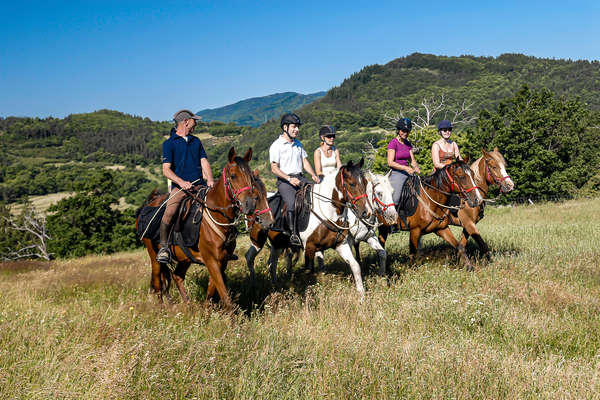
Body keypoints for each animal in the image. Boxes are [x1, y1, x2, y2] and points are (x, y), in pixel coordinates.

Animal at [137, 147, 274, 306]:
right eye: (233, 176)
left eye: (251, 178)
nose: (249, 204)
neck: (217, 217)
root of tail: (148, 205)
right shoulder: (211, 261)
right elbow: (224, 295)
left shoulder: (221, 261)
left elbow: (212, 289)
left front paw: (206, 308)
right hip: (154, 257)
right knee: (158, 284)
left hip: (184, 258)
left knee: (177, 276)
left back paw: (188, 306)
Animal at [244, 159, 370, 294]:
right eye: (351, 184)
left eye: (366, 182)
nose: (366, 212)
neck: (328, 212)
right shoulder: (309, 247)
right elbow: (309, 273)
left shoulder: (341, 244)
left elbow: (355, 266)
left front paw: (361, 295)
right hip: (257, 240)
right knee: (250, 258)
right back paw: (253, 286)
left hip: (278, 244)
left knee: (271, 263)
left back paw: (275, 287)